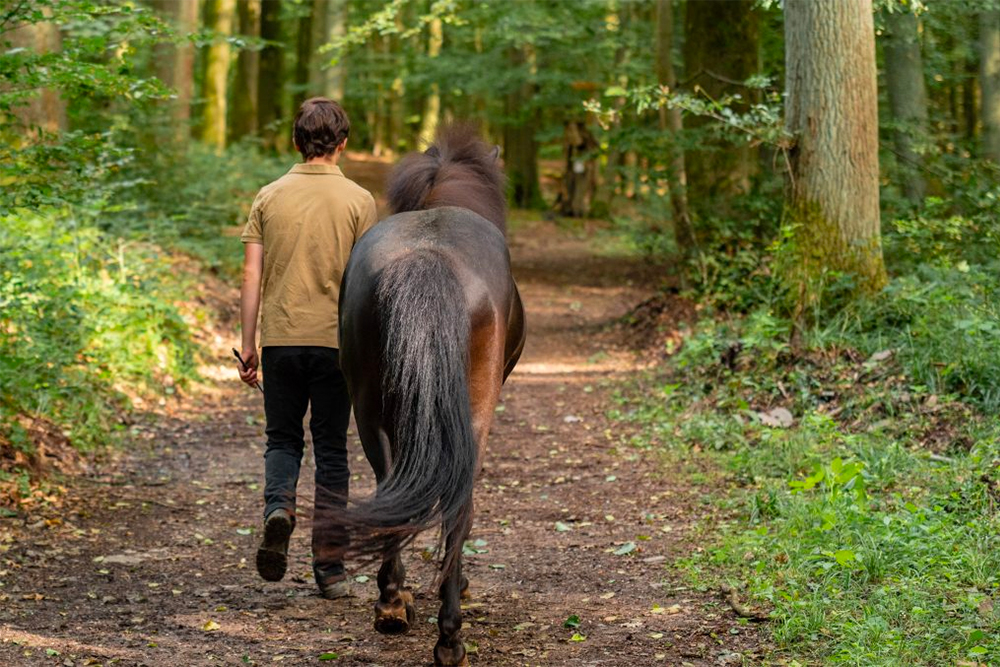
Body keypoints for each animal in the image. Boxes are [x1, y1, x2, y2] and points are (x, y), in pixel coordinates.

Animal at [336, 126, 524, 667]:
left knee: (388, 486)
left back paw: (391, 606)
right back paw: (450, 635)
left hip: (369, 407)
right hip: (474, 412)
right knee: (459, 503)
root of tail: (427, 256)